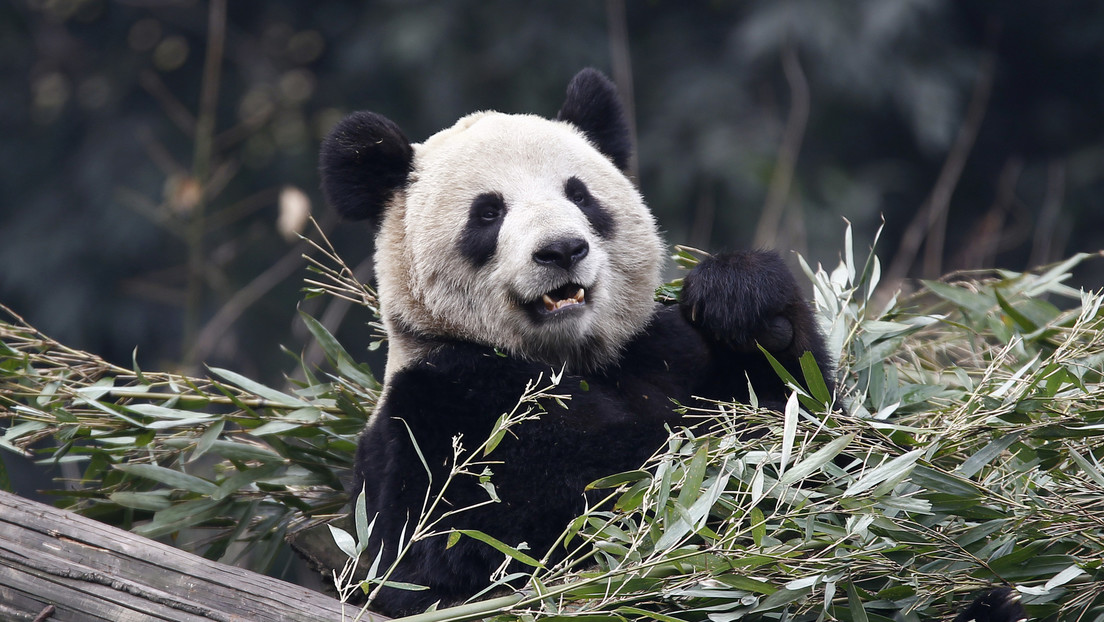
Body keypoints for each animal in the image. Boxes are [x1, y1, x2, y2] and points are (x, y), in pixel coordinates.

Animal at [317, 68, 1024, 622]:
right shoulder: (446, 410)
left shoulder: (665, 354)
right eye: (488, 213)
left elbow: (819, 431)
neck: (574, 357)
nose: (562, 250)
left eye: (580, 195)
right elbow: (542, 523)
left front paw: (742, 299)